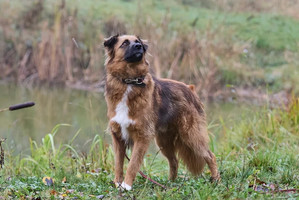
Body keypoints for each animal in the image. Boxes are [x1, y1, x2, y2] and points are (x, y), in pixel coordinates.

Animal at [104, 34, 221, 191]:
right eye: (125, 43)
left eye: (138, 42)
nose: (139, 47)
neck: (129, 81)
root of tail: (190, 88)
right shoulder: (117, 136)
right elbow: (118, 164)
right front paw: (118, 183)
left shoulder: (142, 137)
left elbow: (133, 164)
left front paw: (127, 185)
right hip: (164, 141)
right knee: (174, 161)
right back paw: (170, 184)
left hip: (191, 135)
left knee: (210, 156)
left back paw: (216, 180)